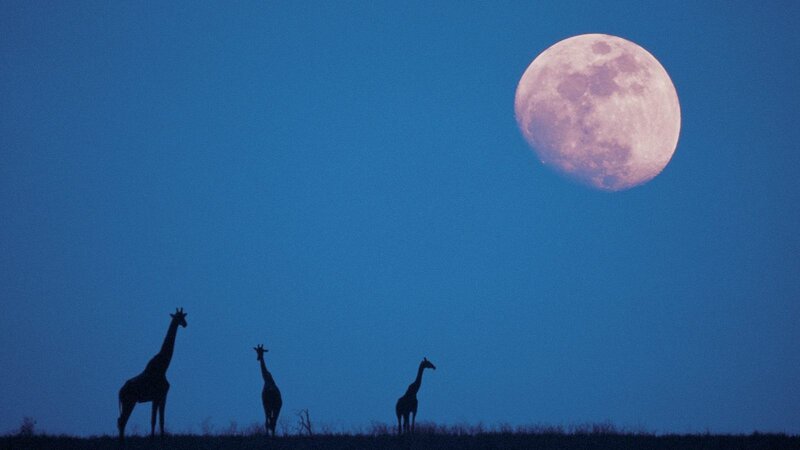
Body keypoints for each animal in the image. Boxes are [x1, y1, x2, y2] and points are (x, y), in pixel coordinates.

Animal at [117, 308, 187, 441]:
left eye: (184, 316)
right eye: (178, 317)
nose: (185, 324)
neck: (163, 367)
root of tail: (120, 392)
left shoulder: (156, 398)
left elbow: (155, 419)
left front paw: (154, 437)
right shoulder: (161, 395)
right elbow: (159, 420)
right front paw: (158, 438)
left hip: (127, 403)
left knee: (120, 420)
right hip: (129, 402)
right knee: (122, 421)